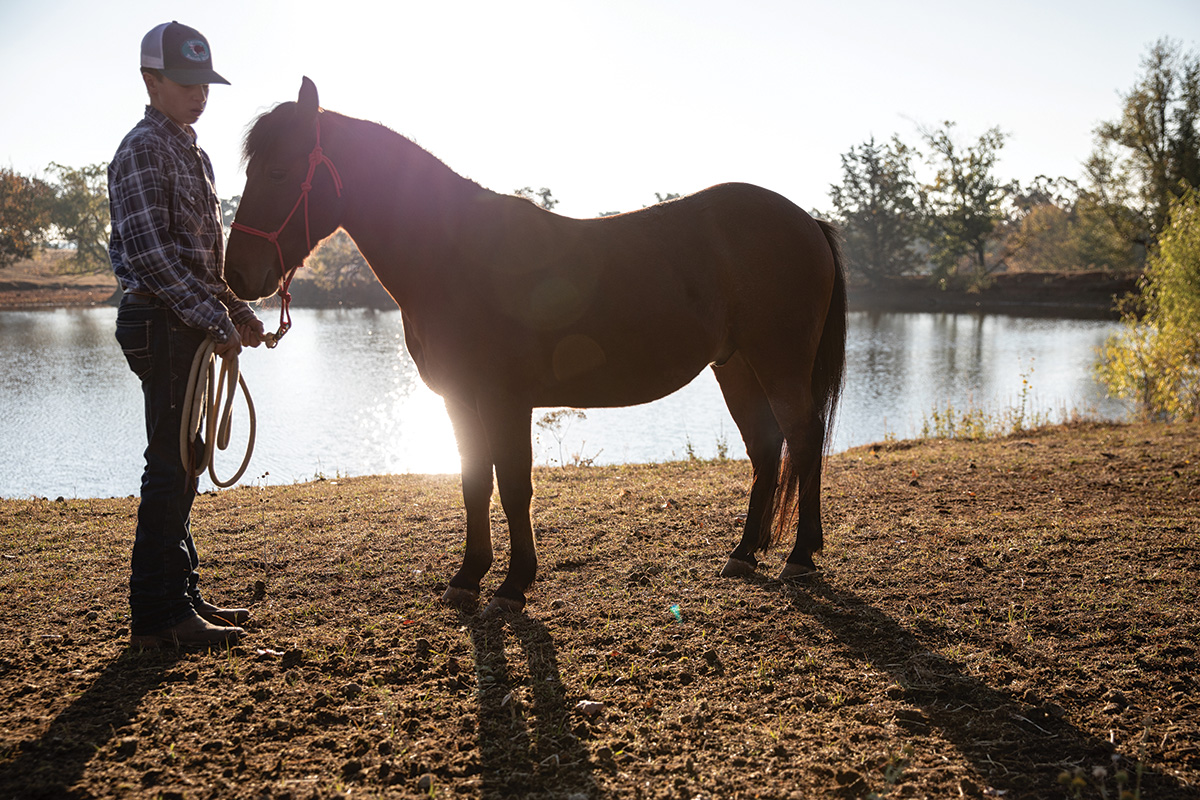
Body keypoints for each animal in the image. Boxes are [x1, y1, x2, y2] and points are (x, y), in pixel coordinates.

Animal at [223, 79, 844, 614]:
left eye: (279, 171)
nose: (237, 276)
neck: (455, 256)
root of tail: (806, 220)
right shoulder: (458, 399)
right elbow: (474, 482)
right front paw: (467, 578)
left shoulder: (505, 399)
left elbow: (514, 485)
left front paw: (514, 584)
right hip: (736, 365)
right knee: (766, 448)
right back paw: (744, 554)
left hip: (779, 362)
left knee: (803, 439)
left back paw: (799, 556)